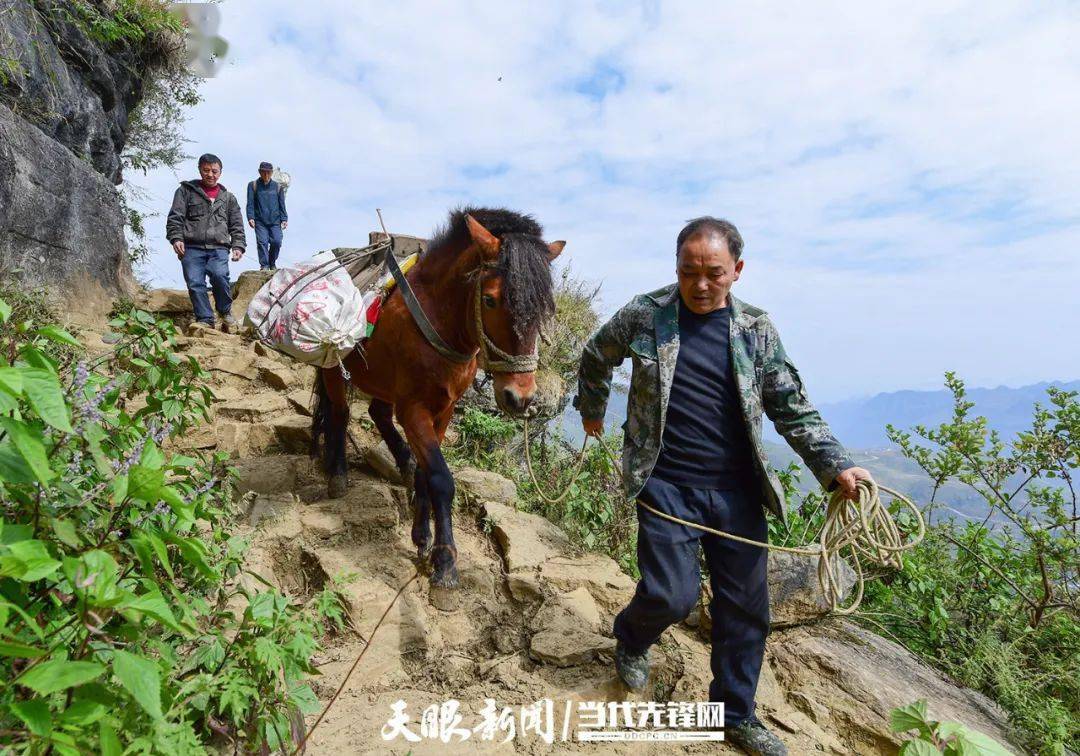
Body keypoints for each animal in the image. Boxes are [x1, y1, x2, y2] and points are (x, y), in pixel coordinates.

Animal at [311, 208, 565, 591]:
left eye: (544, 309)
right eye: (490, 299)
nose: (519, 398)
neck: (440, 324)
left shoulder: (442, 410)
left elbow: (426, 473)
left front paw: (422, 536)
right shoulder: (414, 409)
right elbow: (442, 479)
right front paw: (445, 560)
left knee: (376, 413)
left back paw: (400, 461)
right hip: (334, 371)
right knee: (339, 412)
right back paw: (337, 471)